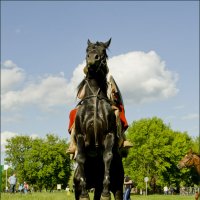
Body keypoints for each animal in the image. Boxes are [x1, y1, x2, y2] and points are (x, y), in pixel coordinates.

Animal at [72, 38, 124, 200]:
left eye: (103, 51)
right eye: (87, 50)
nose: (92, 59)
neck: (94, 98)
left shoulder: (109, 135)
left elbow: (107, 156)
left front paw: (106, 193)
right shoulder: (80, 135)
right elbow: (81, 157)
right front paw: (84, 194)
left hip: (118, 188)